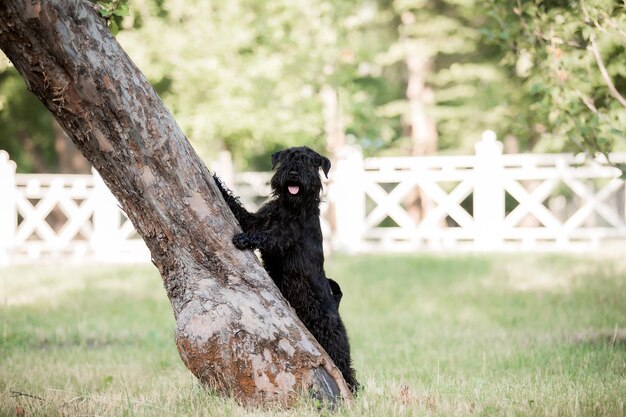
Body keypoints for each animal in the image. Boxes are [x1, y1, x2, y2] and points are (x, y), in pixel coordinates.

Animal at [212, 147, 356, 394]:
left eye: (309, 162)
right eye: (289, 157)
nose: (294, 173)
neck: (291, 206)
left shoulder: (282, 237)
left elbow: (264, 236)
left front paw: (243, 239)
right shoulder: (256, 219)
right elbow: (240, 211)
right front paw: (217, 182)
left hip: (333, 339)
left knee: (345, 366)